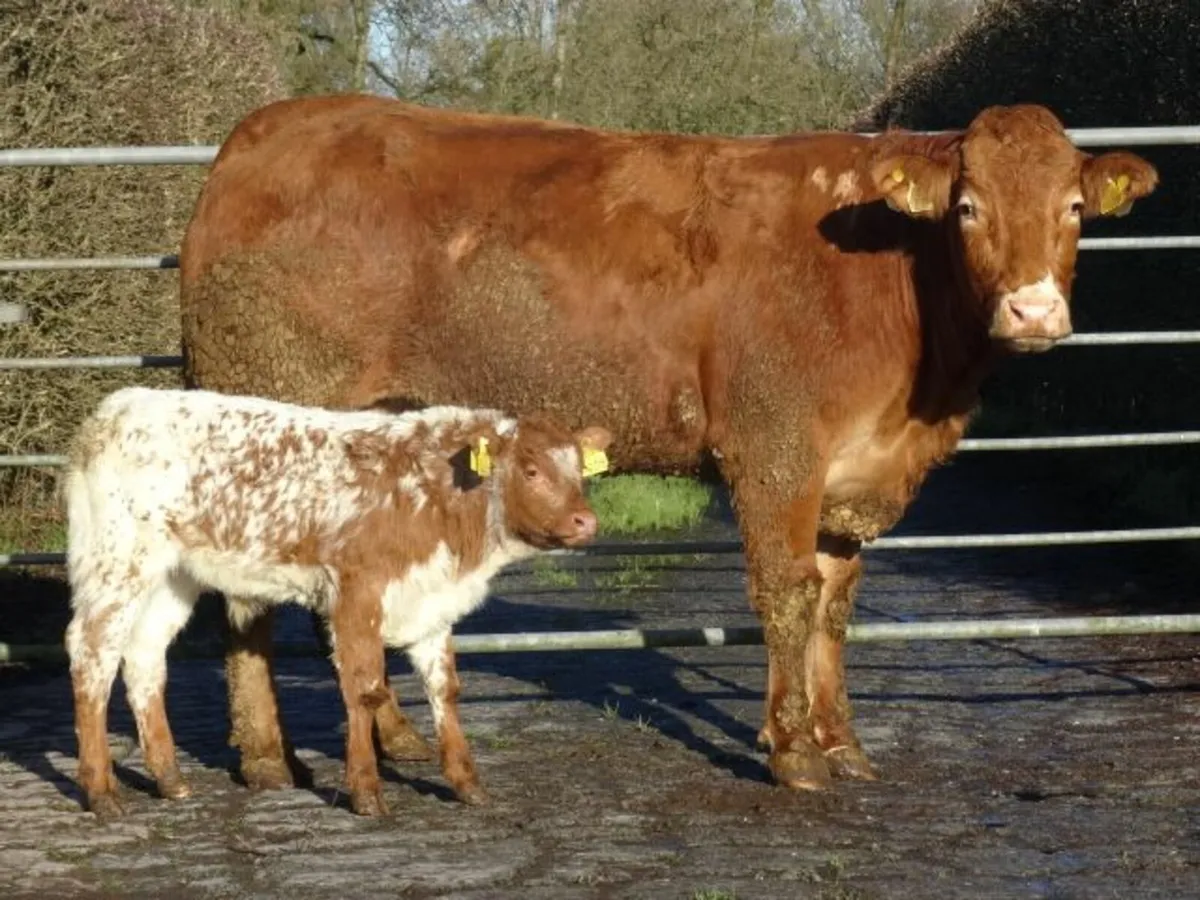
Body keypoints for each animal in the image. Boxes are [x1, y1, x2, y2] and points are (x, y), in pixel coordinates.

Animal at [63, 385, 612, 818]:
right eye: (532, 470)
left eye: (581, 471)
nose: (585, 521)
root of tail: (115, 408)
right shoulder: (355, 593)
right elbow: (364, 688)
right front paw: (366, 791)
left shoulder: (430, 600)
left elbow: (444, 689)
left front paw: (467, 782)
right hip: (117, 562)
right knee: (92, 653)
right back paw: (102, 790)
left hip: (172, 577)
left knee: (144, 657)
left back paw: (170, 779)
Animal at [178, 95, 1158, 794]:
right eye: (967, 209)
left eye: (1076, 207)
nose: (1033, 310)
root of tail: (262, 132)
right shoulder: (776, 447)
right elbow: (789, 595)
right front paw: (793, 751)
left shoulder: (855, 473)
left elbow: (837, 605)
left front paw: (842, 740)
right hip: (273, 410)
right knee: (250, 595)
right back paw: (264, 758)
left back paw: (396, 739)